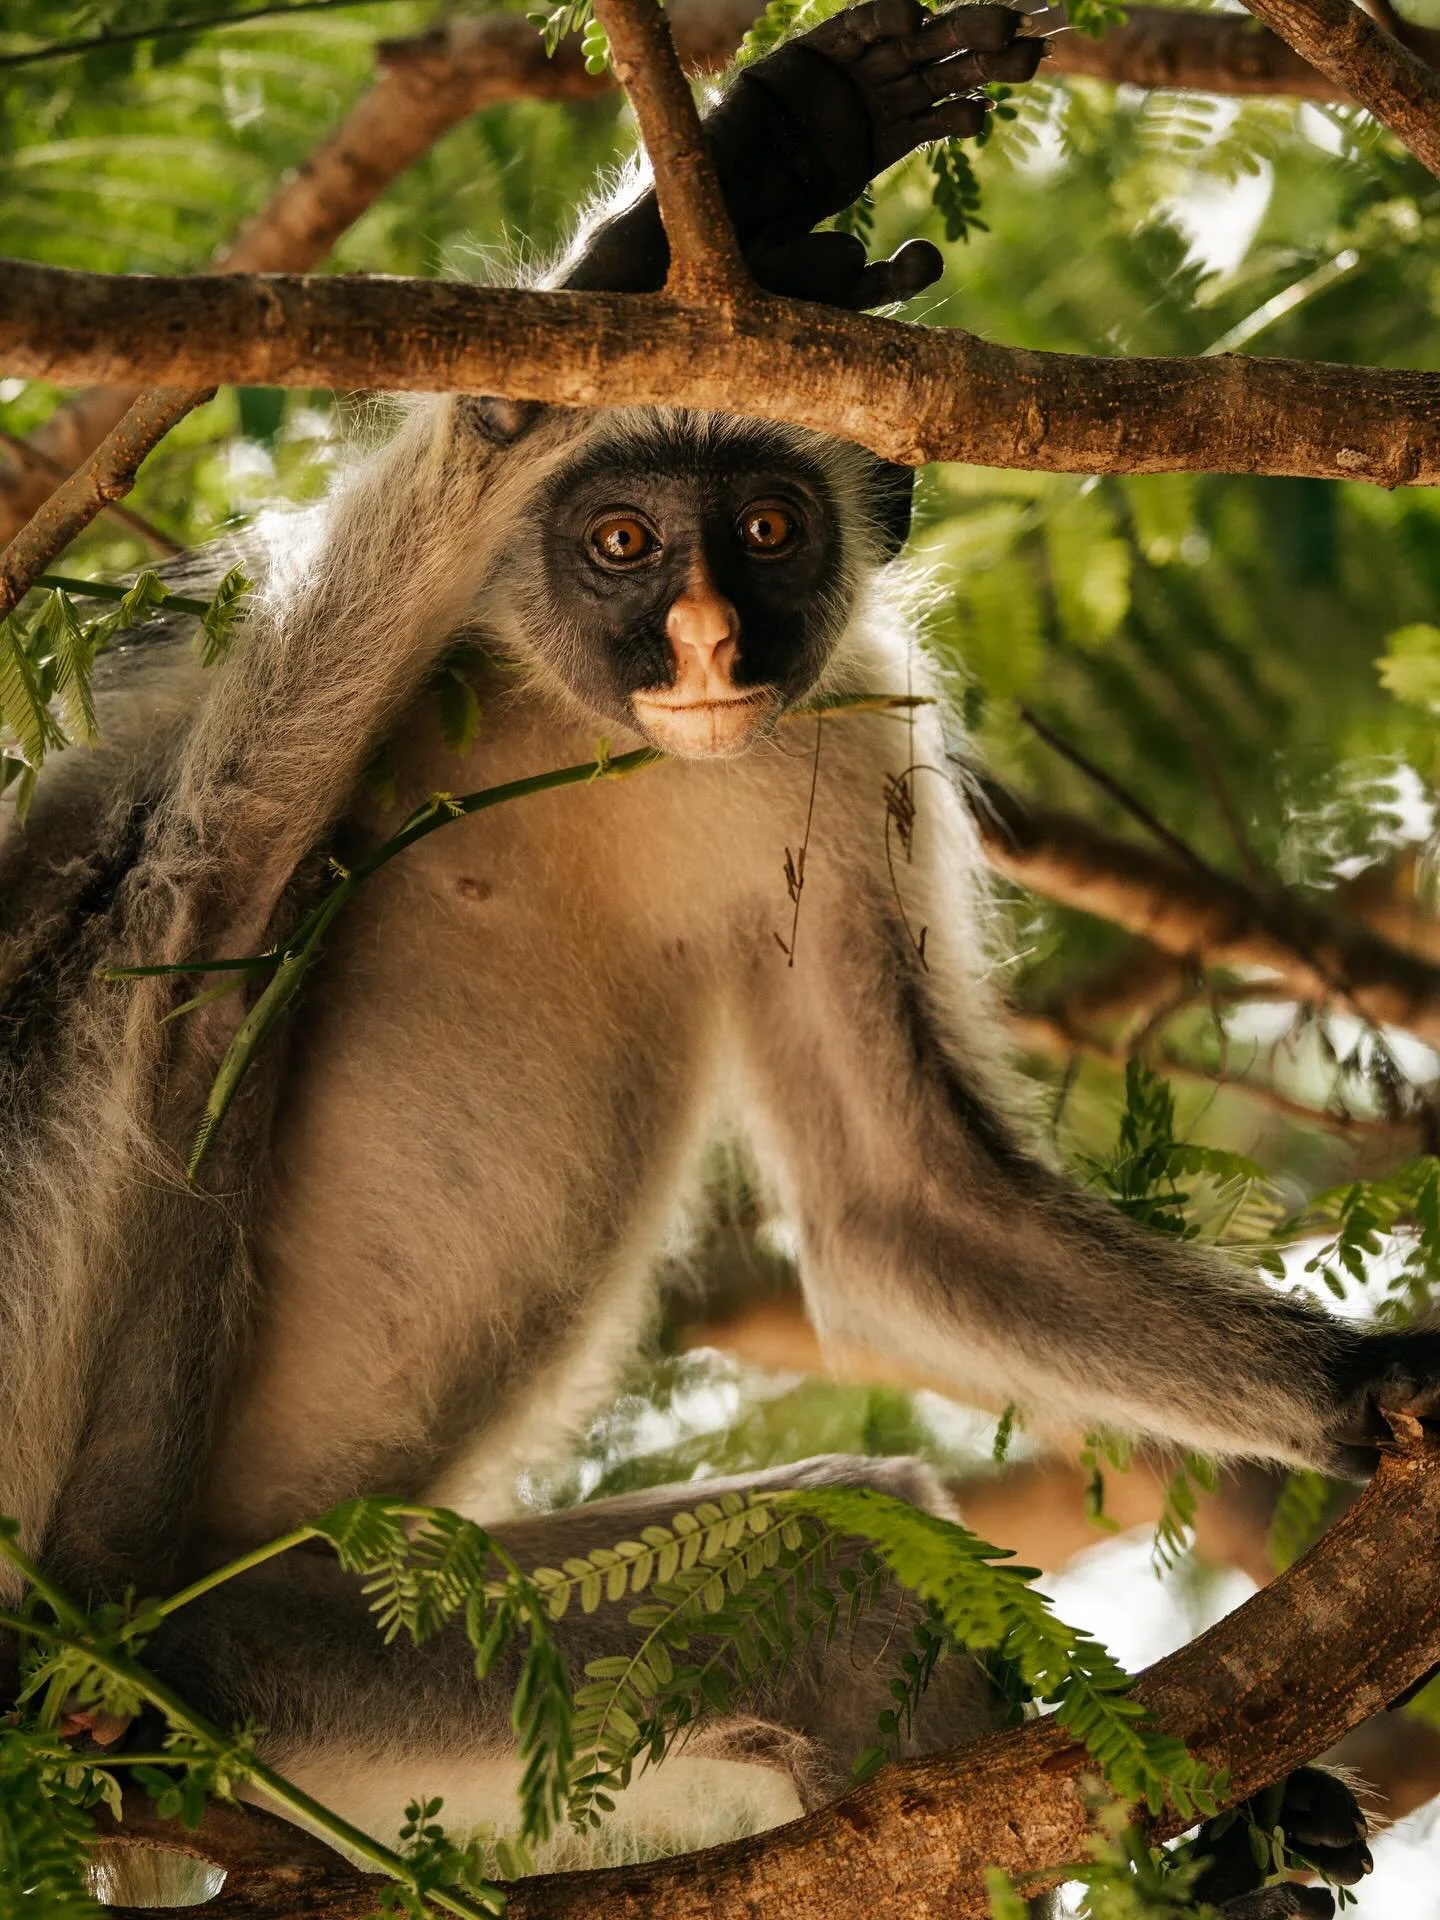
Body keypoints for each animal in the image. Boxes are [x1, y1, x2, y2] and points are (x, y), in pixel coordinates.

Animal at [0, 1, 1415, 1909]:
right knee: (211, 890)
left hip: (354, 1672)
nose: (700, 642)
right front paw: (695, 208)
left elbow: (907, 1205)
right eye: (619, 541)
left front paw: (1381, 1389)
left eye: (761, 529)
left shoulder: (845, 736)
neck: (590, 729)